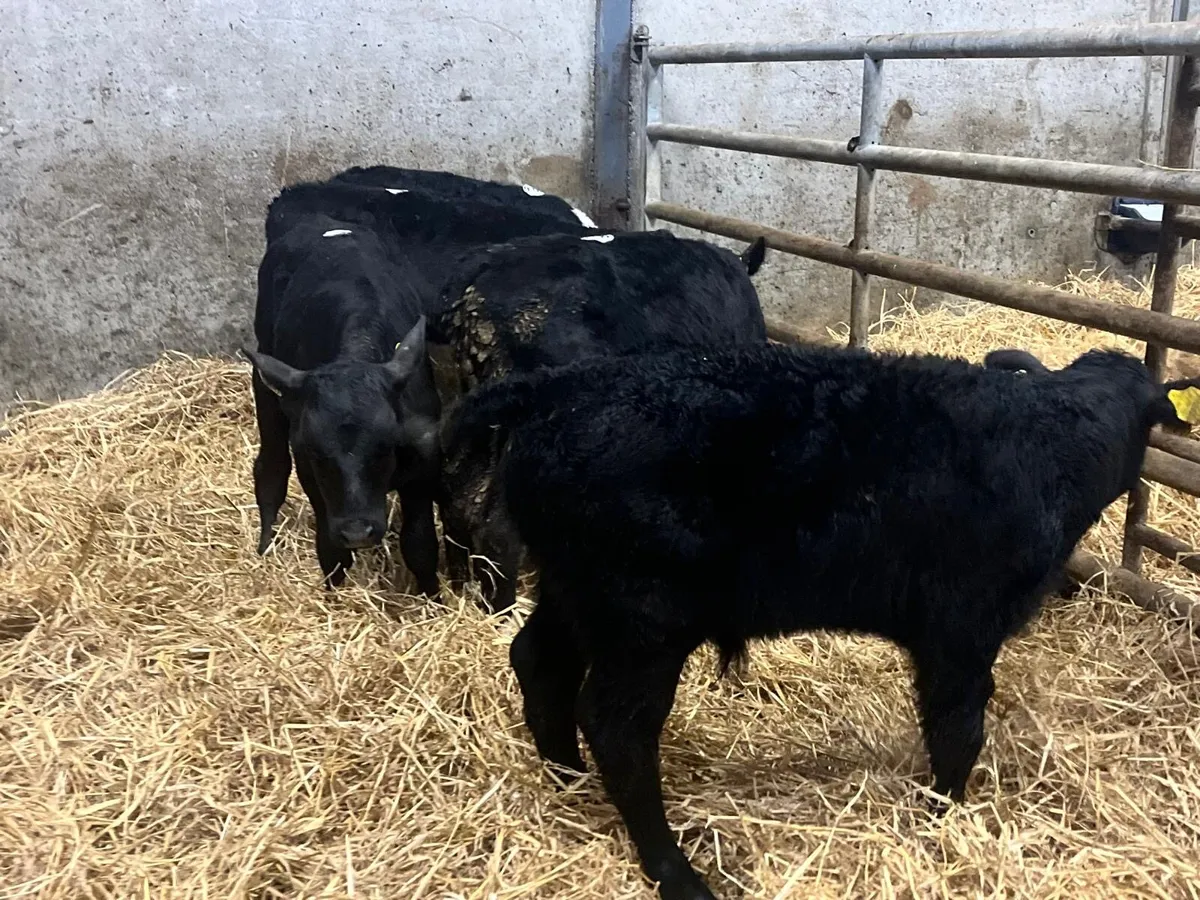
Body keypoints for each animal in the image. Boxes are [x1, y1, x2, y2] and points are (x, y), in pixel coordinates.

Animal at [244, 212, 442, 595]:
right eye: (316, 452)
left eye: (387, 446)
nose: (357, 532)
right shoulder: (312, 474)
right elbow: (331, 551)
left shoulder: (422, 463)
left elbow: (421, 545)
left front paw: (432, 599)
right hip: (265, 381)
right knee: (271, 467)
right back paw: (264, 546)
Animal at [433, 229, 769, 612]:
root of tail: (480, 273)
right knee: (498, 528)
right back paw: (503, 610)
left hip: (468, 409)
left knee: (457, 495)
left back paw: (460, 588)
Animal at [439, 342, 1200, 900]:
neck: (1057, 442)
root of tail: (557, 386)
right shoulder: (960, 630)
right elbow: (958, 728)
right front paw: (943, 818)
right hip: (641, 616)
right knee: (616, 726)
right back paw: (677, 872)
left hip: (575, 591)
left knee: (539, 663)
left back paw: (568, 781)